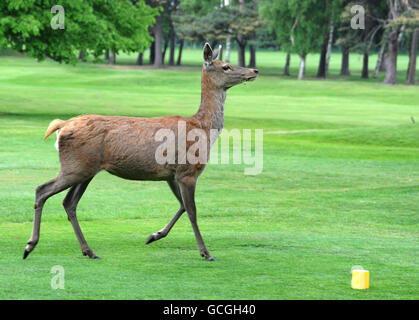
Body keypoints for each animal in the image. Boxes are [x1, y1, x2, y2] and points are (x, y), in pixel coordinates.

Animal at [24, 42, 260, 262]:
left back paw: (88, 251)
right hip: (76, 166)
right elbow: (192, 211)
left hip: (86, 169)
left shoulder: (171, 174)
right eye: (226, 66)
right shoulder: (188, 171)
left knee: (69, 203)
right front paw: (205, 252)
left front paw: (154, 235)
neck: (202, 128)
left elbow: (182, 206)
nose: (254, 70)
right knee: (42, 190)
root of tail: (62, 126)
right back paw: (30, 245)